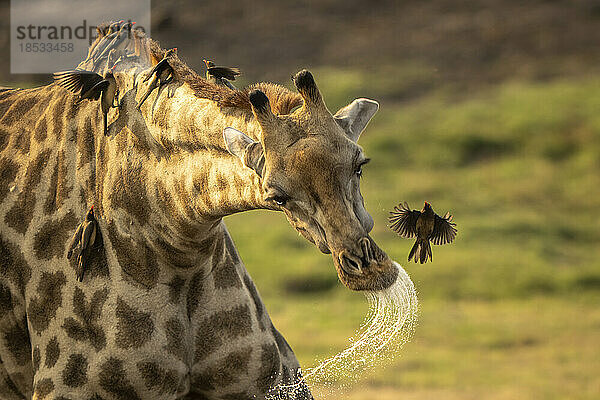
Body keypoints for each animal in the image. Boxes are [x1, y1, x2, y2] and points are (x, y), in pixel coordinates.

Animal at [0, 26, 398, 398]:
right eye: (278, 195)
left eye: (360, 165)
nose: (370, 271)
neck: (179, 243)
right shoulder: (66, 387)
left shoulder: (268, 383)